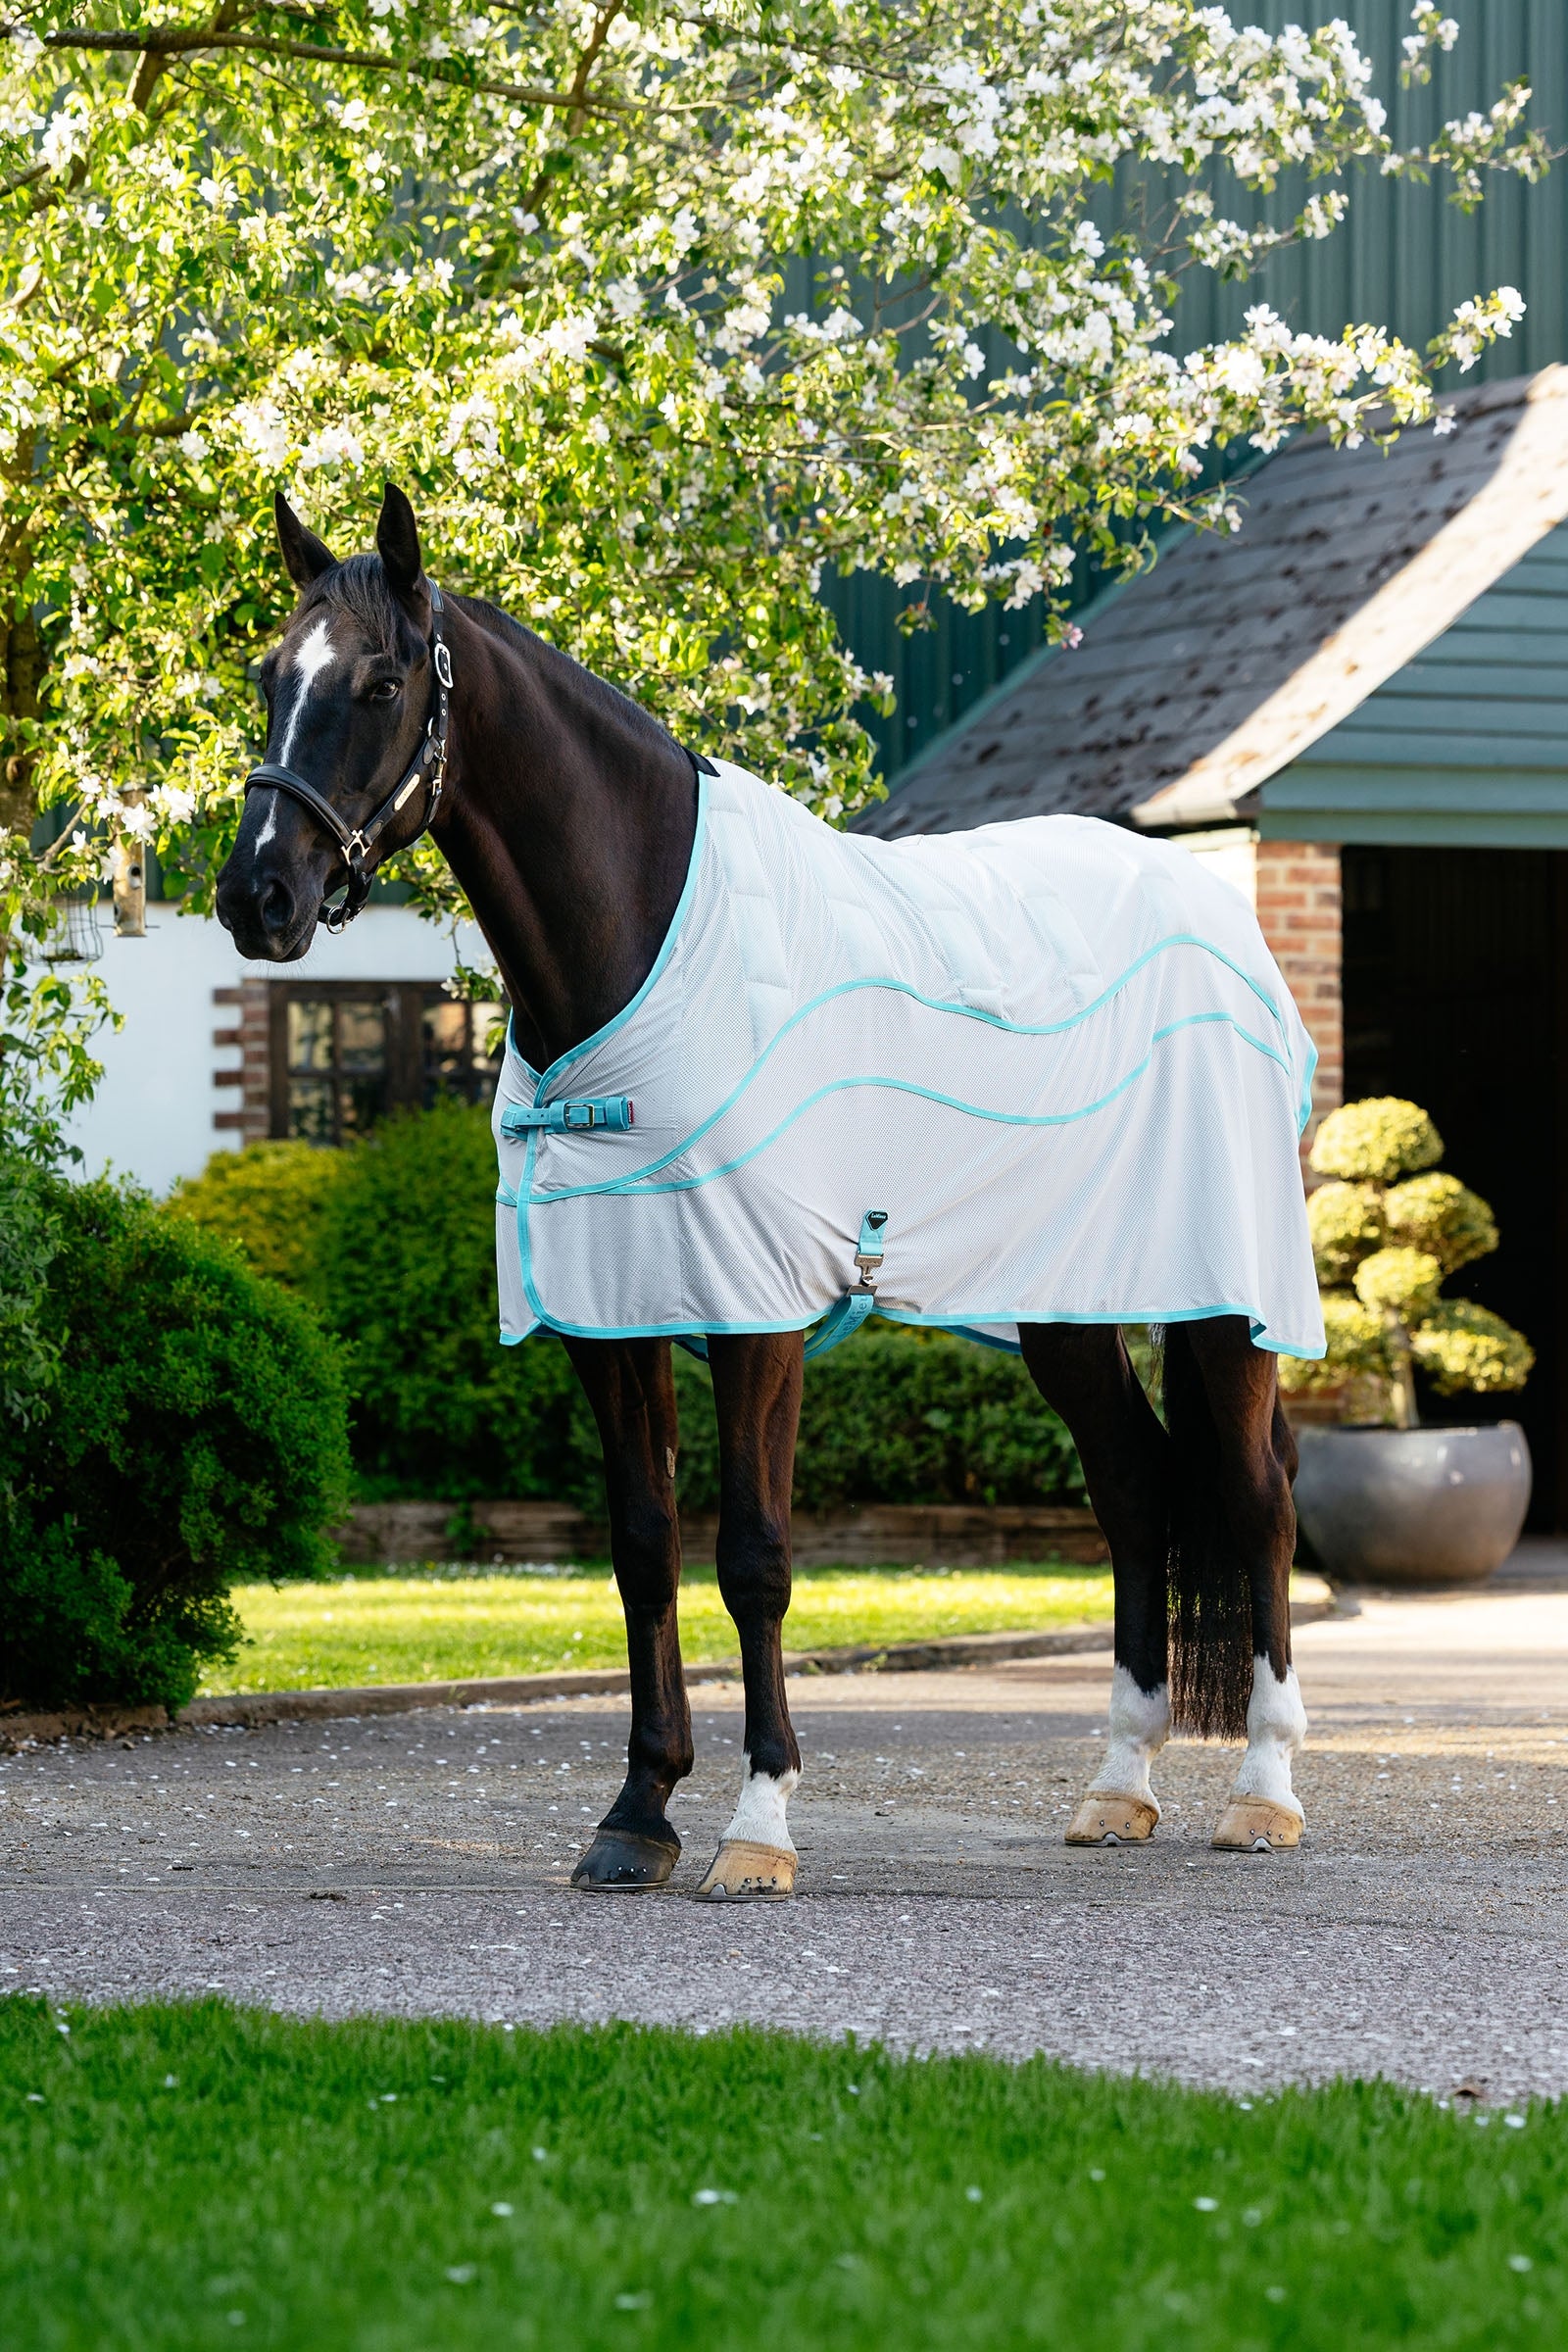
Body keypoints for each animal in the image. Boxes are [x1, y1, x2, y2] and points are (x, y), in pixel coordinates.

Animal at [216, 484, 1314, 1899]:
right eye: (266, 675)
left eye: (383, 680)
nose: (257, 895)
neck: (646, 939)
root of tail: (1215, 912)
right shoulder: (613, 1315)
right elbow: (643, 1549)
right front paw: (637, 1813)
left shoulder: (758, 1316)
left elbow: (754, 1558)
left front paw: (757, 1825)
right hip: (1067, 1306)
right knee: (1134, 1490)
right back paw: (1117, 1788)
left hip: (1227, 1305)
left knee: (1258, 1500)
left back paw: (1263, 1795)